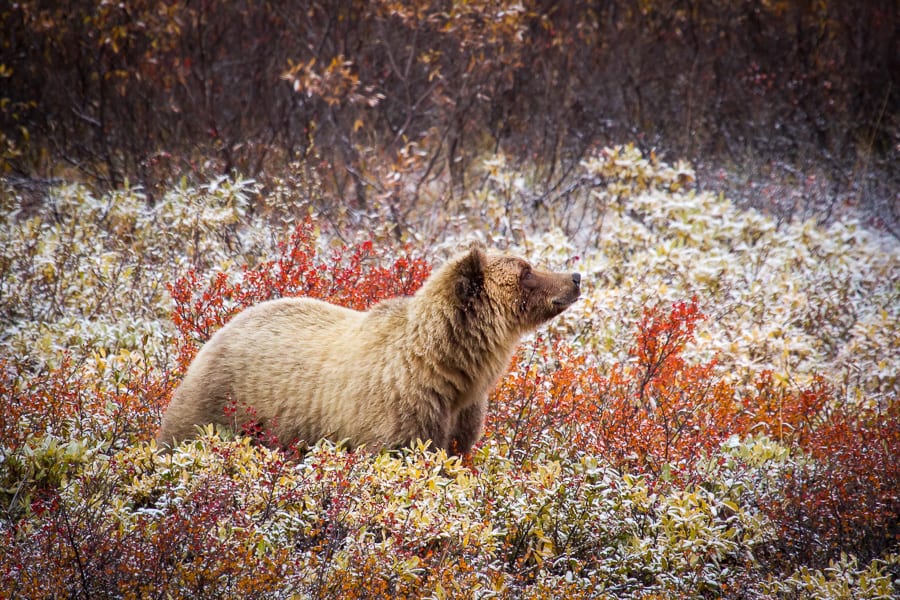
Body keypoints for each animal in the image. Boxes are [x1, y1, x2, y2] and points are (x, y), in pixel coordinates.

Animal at [157, 241, 580, 452]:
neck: (449, 369)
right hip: (220, 406)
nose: (574, 277)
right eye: (526, 272)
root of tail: (217, 331)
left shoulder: (461, 416)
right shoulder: (396, 413)